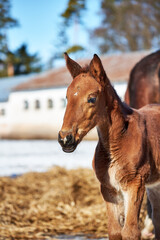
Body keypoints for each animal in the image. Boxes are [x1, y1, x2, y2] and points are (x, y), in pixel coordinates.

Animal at [58, 53, 160, 240]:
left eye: (92, 98)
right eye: (67, 97)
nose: (65, 138)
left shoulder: (135, 184)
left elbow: (130, 232)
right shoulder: (109, 189)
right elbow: (114, 230)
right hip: (155, 185)